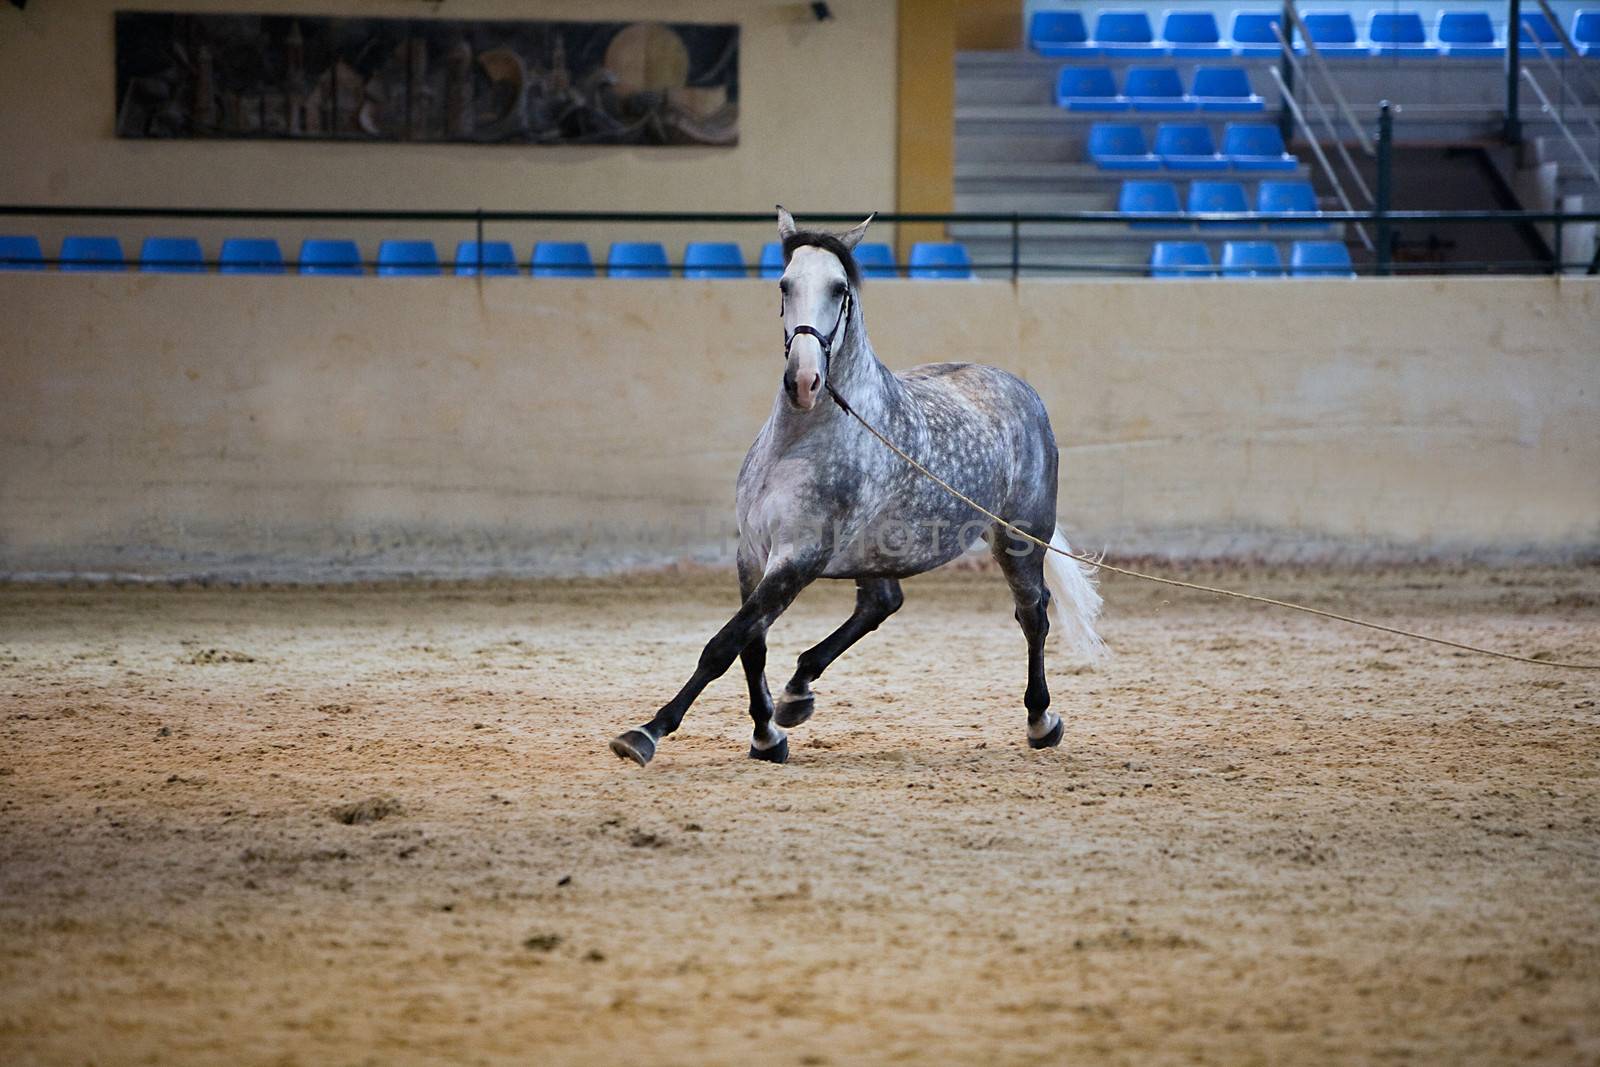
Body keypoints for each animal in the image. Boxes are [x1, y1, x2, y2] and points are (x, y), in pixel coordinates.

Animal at [611, 206, 1100, 767]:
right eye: (784, 284)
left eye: (840, 288)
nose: (803, 381)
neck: (799, 441)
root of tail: (1020, 390)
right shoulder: (753, 553)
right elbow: (750, 643)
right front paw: (767, 735)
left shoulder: (799, 557)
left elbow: (724, 645)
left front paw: (646, 733)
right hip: (880, 551)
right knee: (881, 603)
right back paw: (797, 692)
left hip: (1018, 538)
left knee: (1033, 613)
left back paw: (1041, 720)